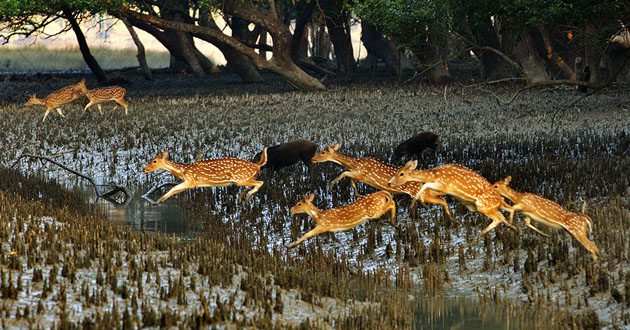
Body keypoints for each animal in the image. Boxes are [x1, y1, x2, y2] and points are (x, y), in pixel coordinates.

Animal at [312, 143, 454, 218]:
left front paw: (331, 186)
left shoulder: (363, 175)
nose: (313, 159)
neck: (355, 163)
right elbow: (349, 176)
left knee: (442, 199)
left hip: (417, 192)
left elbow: (345, 173)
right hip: (424, 192)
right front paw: (358, 193)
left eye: (323, 152)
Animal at [390, 161, 520, 238]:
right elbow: (426, 187)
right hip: (488, 207)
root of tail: (499, 199)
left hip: (482, 205)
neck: (434, 175)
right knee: (504, 215)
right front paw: (420, 203)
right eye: (397, 172)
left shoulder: (444, 185)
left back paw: (479, 237)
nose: (389, 182)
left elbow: (425, 185)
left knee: (498, 218)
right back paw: (515, 230)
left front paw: (413, 204)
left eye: (401, 173)